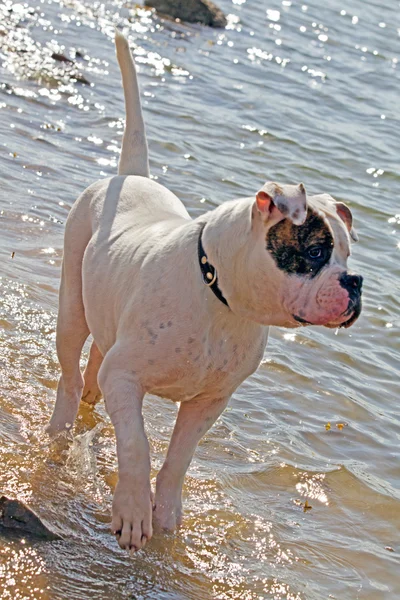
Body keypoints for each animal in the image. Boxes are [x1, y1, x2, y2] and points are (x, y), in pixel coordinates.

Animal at [46, 30, 362, 552]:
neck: (221, 303)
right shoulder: (127, 378)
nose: (354, 283)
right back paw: (60, 427)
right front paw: (132, 512)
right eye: (316, 252)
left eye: (348, 256)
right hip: (71, 309)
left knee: (97, 359)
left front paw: (167, 512)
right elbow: (136, 444)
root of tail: (130, 176)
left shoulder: (208, 403)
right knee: (69, 373)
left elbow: (179, 457)